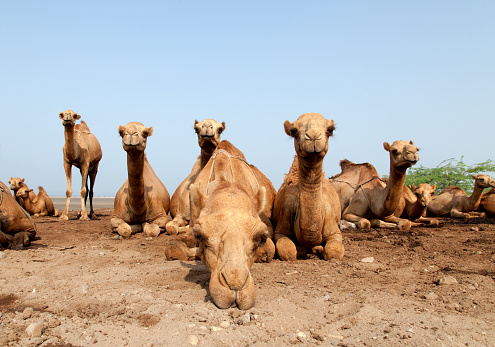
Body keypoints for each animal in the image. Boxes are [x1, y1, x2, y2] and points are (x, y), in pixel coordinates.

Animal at [272, 113, 344, 262]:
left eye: (331, 129)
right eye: (294, 131)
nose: (313, 137)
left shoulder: (334, 230)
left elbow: (334, 252)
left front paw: (320, 250)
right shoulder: (282, 225)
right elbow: (288, 252)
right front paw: (309, 249)